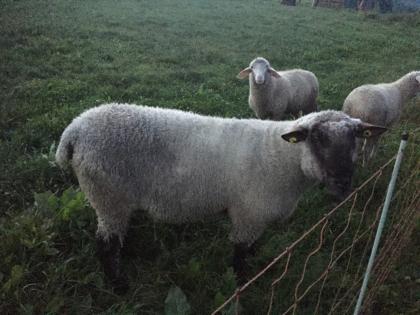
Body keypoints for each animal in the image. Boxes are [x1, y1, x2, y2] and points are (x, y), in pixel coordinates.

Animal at [56, 104, 388, 288]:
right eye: (318, 138)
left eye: (356, 137)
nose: (343, 181)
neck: (282, 157)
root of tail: (75, 129)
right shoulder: (248, 214)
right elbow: (240, 253)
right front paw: (242, 283)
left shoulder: (256, 217)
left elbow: (253, 247)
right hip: (107, 195)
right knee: (105, 244)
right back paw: (118, 285)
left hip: (113, 199)